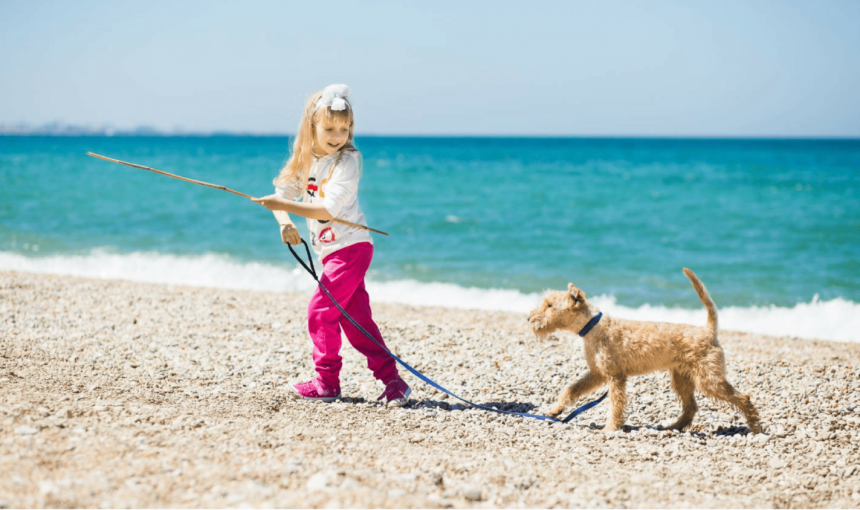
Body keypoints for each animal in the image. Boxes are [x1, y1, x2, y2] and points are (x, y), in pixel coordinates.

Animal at [528, 268, 764, 432]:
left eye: (550, 305)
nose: (530, 318)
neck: (593, 327)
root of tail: (709, 331)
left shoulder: (615, 377)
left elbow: (615, 405)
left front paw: (610, 428)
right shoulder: (597, 374)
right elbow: (570, 390)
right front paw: (555, 410)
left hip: (709, 379)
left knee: (743, 398)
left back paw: (755, 426)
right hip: (681, 379)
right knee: (691, 407)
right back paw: (674, 427)